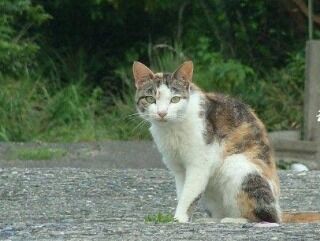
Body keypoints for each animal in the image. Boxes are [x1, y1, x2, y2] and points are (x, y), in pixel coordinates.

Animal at [132, 60, 320, 224]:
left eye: (175, 99)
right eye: (150, 99)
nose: (162, 113)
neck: (171, 130)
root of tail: (280, 209)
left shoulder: (200, 164)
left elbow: (189, 194)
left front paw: (178, 219)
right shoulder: (178, 169)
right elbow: (182, 192)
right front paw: (183, 217)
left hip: (237, 166)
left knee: (268, 218)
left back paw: (232, 220)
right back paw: (212, 220)